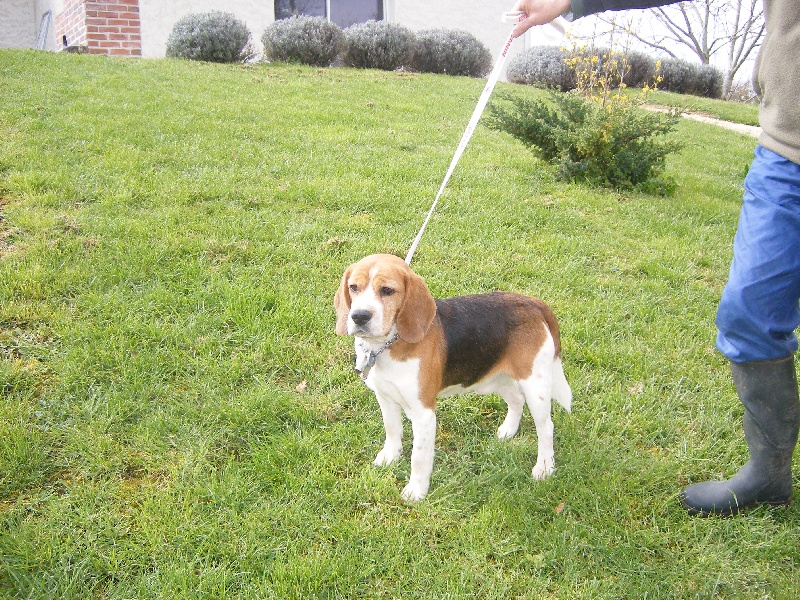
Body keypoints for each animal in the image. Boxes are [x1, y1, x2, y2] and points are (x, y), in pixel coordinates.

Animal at [334, 253, 572, 502]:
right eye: (354, 287)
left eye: (387, 290)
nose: (359, 316)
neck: (387, 345)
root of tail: (533, 303)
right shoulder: (385, 397)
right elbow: (392, 430)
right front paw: (390, 457)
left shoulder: (423, 413)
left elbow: (419, 457)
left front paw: (416, 491)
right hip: (497, 377)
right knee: (516, 399)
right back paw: (508, 430)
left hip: (536, 386)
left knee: (546, 428)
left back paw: (544, 467)